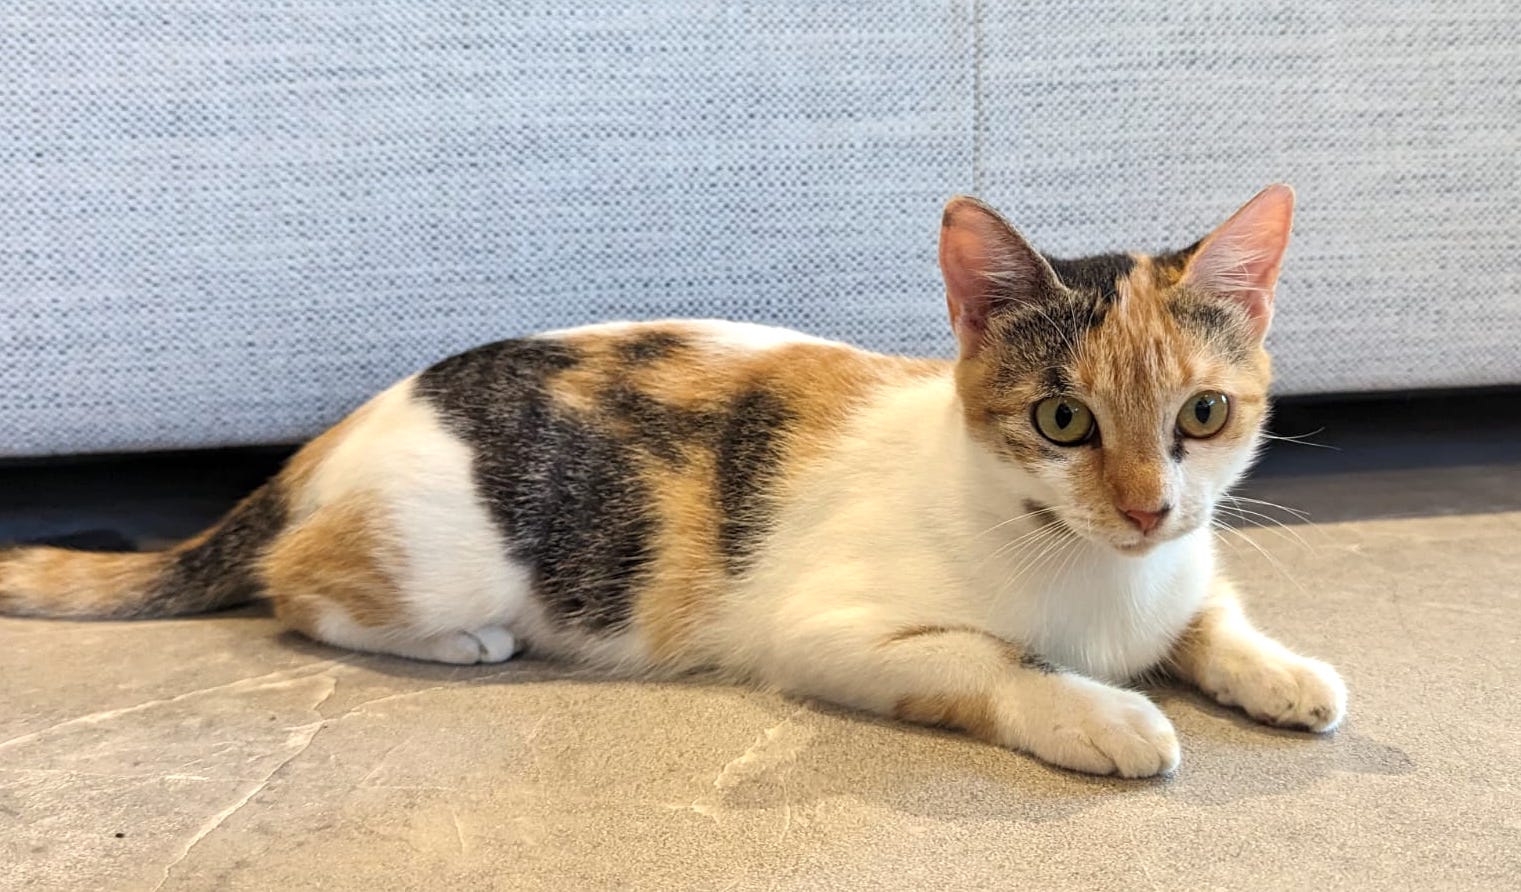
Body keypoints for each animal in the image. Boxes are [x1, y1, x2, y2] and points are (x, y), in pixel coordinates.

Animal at [0, 184, 1344, 773]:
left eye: (1204, 414)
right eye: (1063, 419)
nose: (1146, 506)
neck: (1097, 576)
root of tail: (347, 425)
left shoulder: (1188, 563)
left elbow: (1213, 614)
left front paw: (1284, 672)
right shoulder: (821, 630)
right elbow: (991, 662)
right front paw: (1101, 713)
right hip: (438, 561)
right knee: (296, 584)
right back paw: (462, 642)